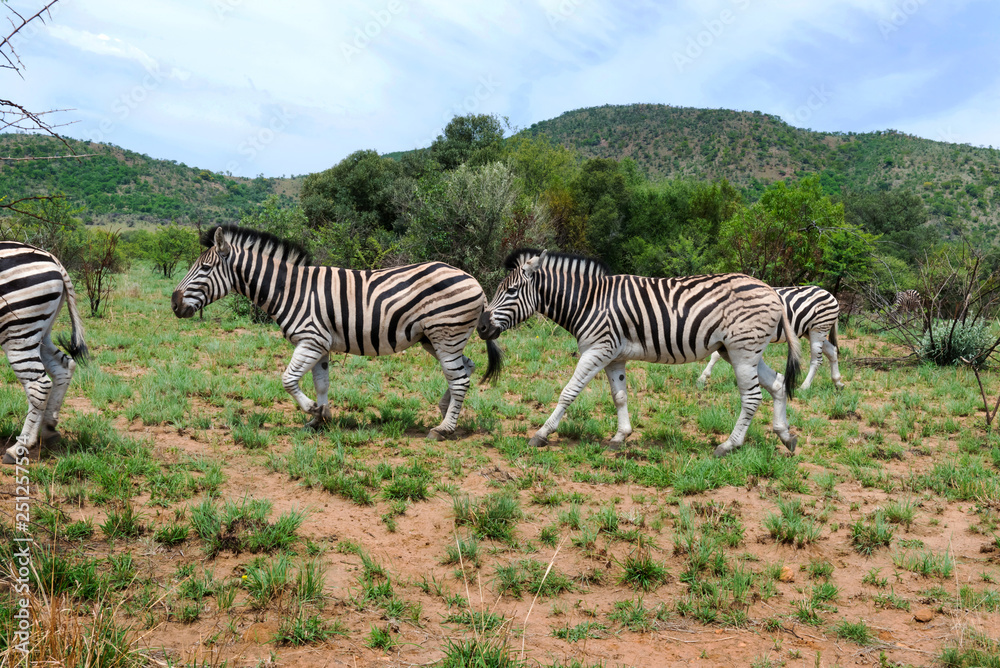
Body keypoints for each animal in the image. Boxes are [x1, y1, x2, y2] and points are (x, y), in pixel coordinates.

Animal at [0, 241, 88, 465]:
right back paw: (49, 430)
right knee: (64, 367)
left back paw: (18, 448)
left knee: (38, 385)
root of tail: (54, 260)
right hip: (40, 332)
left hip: (18, 332)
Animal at [171, 226, 502, 438]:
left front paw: (311, 410)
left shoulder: (310, 340)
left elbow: (288, 380)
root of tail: (474, 281)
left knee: (460, 379)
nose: (174, 303)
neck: (290, 290)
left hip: (446, 334)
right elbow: (321, 383)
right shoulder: (320, 345)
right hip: (434, 338)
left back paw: (444, 429)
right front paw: (321, 417)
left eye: (204, 269)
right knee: (466, 368)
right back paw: (446, 411)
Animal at [477, 249, 802, 457]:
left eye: (511, 291)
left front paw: (542, 434)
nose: (480, 327)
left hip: (742, 351)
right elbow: (619, 396)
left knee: (752, 397)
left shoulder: (597, 349)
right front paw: (620, 437)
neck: (589, 301)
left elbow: (568, 392)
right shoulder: (613, 355)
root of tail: (770, 290)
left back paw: (728, 446)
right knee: (776, 384)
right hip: (738, 351)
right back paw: (786, 436)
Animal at [697, 285, 843, 390]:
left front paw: (703, 377)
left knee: (817, 360)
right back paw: (837, 382)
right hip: (811, 330)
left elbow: (715, 355)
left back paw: (804, 387)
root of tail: (830, 294)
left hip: (819, 328)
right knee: (832, 351)